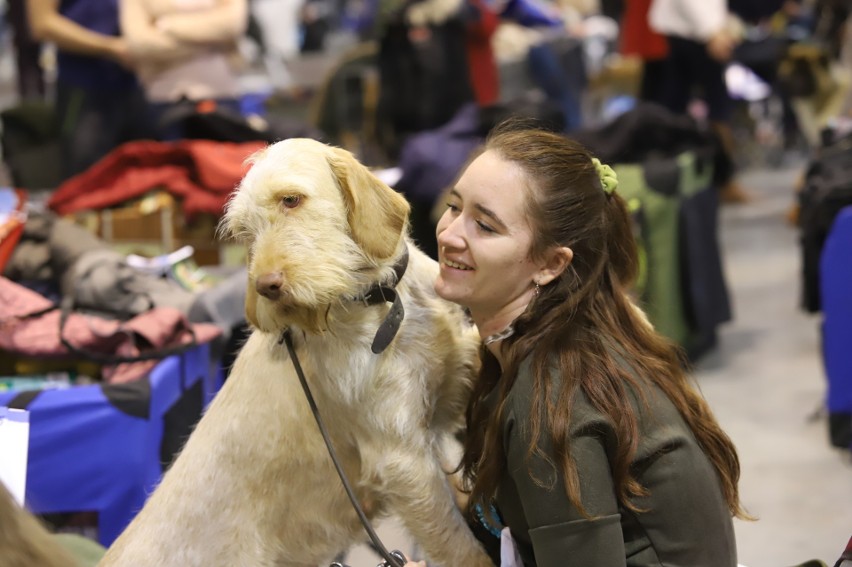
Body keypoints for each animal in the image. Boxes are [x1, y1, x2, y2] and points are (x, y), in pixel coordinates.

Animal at [99, 139, 492, 567]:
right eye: (245, 231)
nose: (266, 287)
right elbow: (460, 545)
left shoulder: (448, 389)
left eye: (291, 199)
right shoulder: (402, 460)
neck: (378, 304)